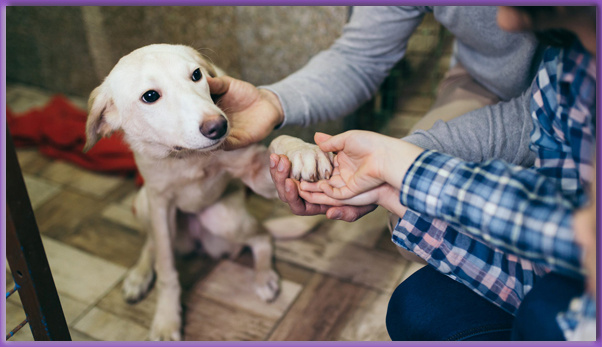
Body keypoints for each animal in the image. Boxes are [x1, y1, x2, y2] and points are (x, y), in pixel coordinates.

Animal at [82, 44, 330, 342]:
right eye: (150, 96)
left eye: (196, 75)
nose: (218, 126)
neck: (187, 157)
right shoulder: (159, 203)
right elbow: (166, 268)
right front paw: (167, 319)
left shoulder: (255, 171)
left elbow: (279, 142)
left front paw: (302, 151)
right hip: (143, 204)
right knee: (152, 243)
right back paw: (139, 275)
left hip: (225, 219)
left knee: (262, 236)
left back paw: (264, 276)